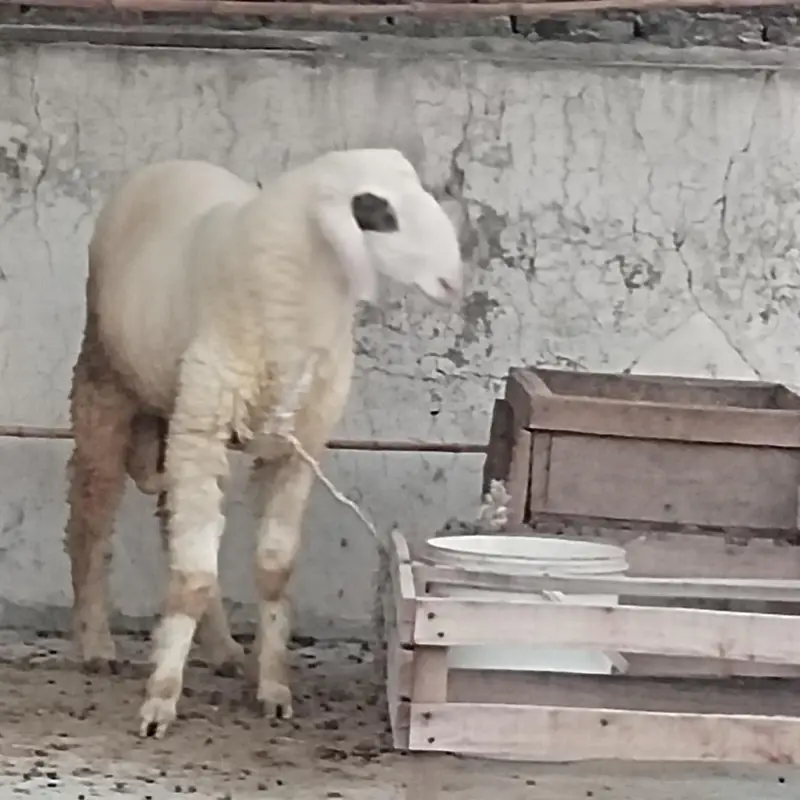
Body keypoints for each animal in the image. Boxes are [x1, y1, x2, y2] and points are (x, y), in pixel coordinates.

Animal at [65, 148, 464, 739]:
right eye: (376, 211)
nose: (453, 281)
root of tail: (173, 162)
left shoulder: (295, 448)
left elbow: (273, 571)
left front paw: (274, 688)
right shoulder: (207, 425)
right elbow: (193, 575)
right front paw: (159, 701)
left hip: (182, 412)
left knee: (171, 522)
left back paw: (224, 649)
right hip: (108, 384)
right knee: (92, 518)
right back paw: (96, 641)